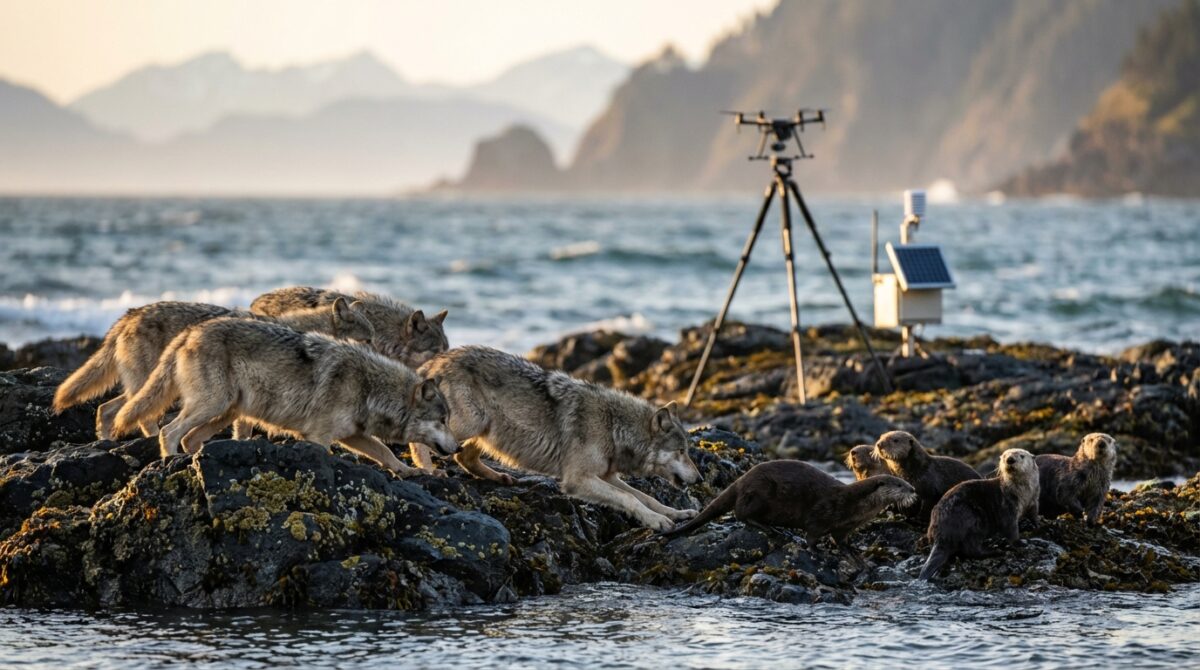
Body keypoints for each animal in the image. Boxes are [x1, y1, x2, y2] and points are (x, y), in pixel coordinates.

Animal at [52, 298, 374, 440]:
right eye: (367, 341)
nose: (377, 361)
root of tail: (128, 315)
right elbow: (244, 430)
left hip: (148, 388)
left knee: (107, 409)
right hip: (157, 389)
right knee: (139, 417)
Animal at [111, 317, 459, 474]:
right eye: (443, 420)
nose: (457, 449)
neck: (370, 387)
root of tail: (191, 331)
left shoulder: (353, 435)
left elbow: (385, 453)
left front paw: (409, 471)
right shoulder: (318, 437)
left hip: (226, 410)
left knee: (190, 438)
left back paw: (195, 463)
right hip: (213, 405)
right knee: (169, 432)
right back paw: (171, 462)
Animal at [415, 345, 700, 530]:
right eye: (682, 452)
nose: (699, 479)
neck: (613, 425)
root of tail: (436, 360)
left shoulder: (607, 476)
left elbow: (646, 497)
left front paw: (677, 514)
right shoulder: (578, 479)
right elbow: (630, 498)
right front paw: (658, 521)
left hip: (485, 429)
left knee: (464, 457)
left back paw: (499, 478)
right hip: (466, 424)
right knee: (419, 437)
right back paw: (425, 469)